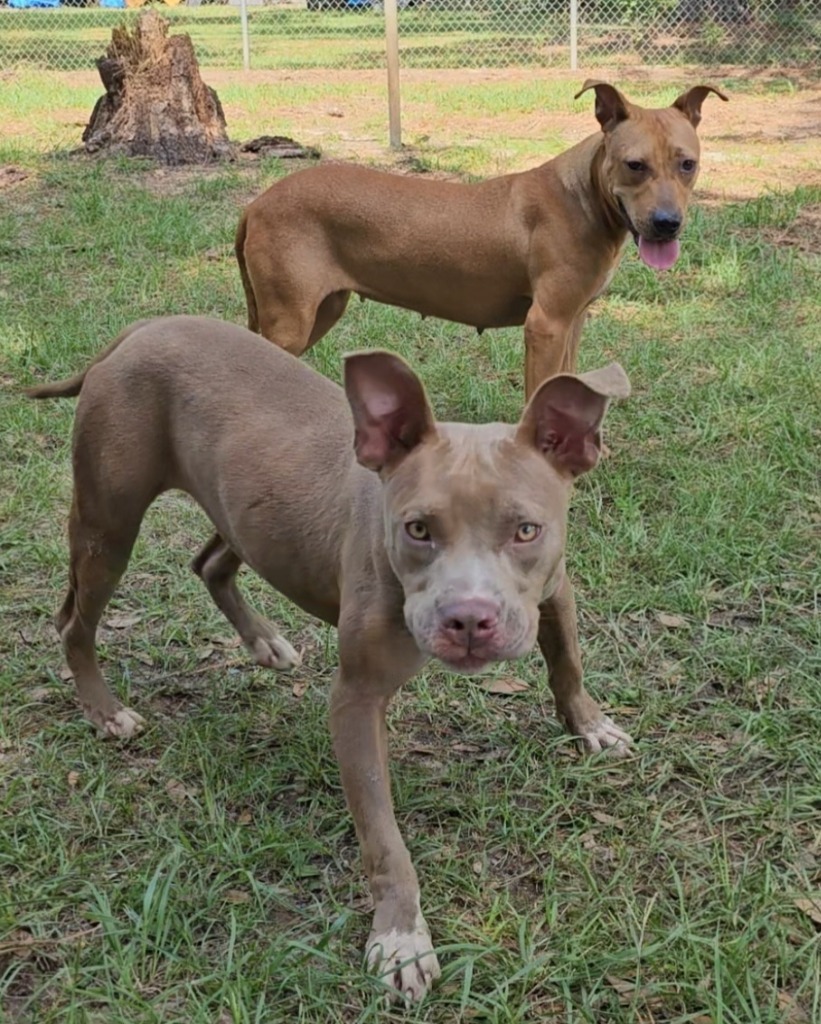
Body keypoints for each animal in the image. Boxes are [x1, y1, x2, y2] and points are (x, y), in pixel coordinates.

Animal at [30, 317, 634, 999]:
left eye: (526, 531)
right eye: (417, 529)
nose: (468, 619)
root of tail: (143, 328)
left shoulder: (554, 589)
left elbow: (567, 661)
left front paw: (589, 724)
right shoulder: (356, 700)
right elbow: (384, 837)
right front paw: (401, 938)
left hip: (243, 508)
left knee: (209, 561)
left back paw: (262, 640)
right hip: (108, 523)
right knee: (75, 621)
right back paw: (105, 710)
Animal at [235, 79, 724, 395]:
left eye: (688, 164)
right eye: (634, 165)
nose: (667, 222)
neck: (584, 196)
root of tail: (256, 204)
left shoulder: (573, 319)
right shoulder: (546, 324)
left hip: (322, 309)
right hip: (291, 320)